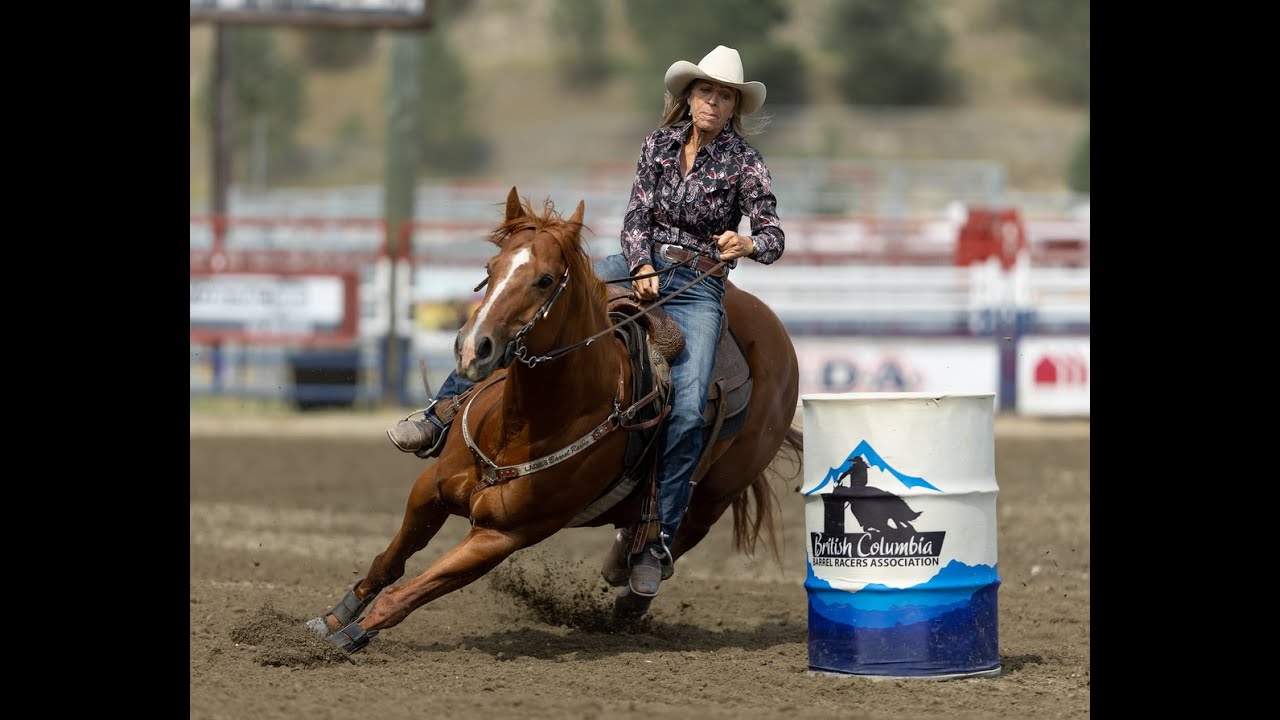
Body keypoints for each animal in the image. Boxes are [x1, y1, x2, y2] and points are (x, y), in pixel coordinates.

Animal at [307, 186, 803, 653]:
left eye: (545, 280)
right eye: (490, 267)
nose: (472, 348)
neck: (520, 425)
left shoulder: (503, 535)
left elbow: (405, 596)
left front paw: (346, 639)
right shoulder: (431, 490)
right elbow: (389, 562)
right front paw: (331, 619)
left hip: (715, 495)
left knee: (673, 537)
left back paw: (634, 589)